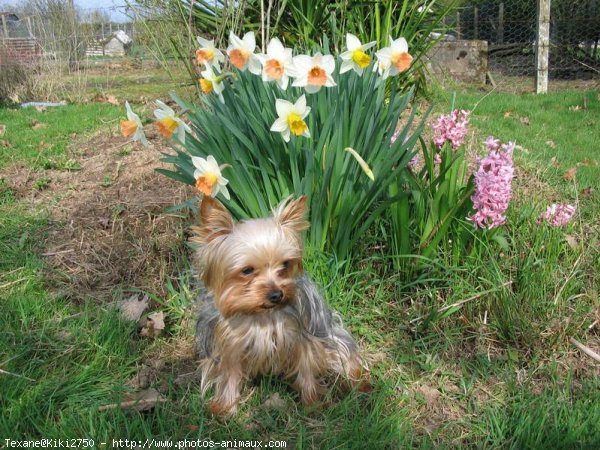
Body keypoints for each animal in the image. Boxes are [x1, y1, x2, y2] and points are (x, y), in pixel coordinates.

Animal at [192, 195, 368, 414]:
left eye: (285, 264)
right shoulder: (228, 343)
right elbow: (229, 373)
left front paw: (312, 402)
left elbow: (306, 366)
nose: (277, 294)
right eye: (247, 270)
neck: (260, 314)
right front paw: (225, 407)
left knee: (345, 354)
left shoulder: (301, 335)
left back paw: (358, 382)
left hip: (326, 332)